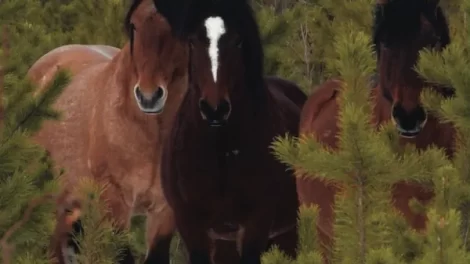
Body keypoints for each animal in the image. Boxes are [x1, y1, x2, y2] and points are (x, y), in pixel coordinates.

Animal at [152, 0, 306, 262]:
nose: (215, 109)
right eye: (192, 41)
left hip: (287, 233)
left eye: (237, 40)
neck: (220, 155)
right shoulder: (193, 227)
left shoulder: (255, 224)